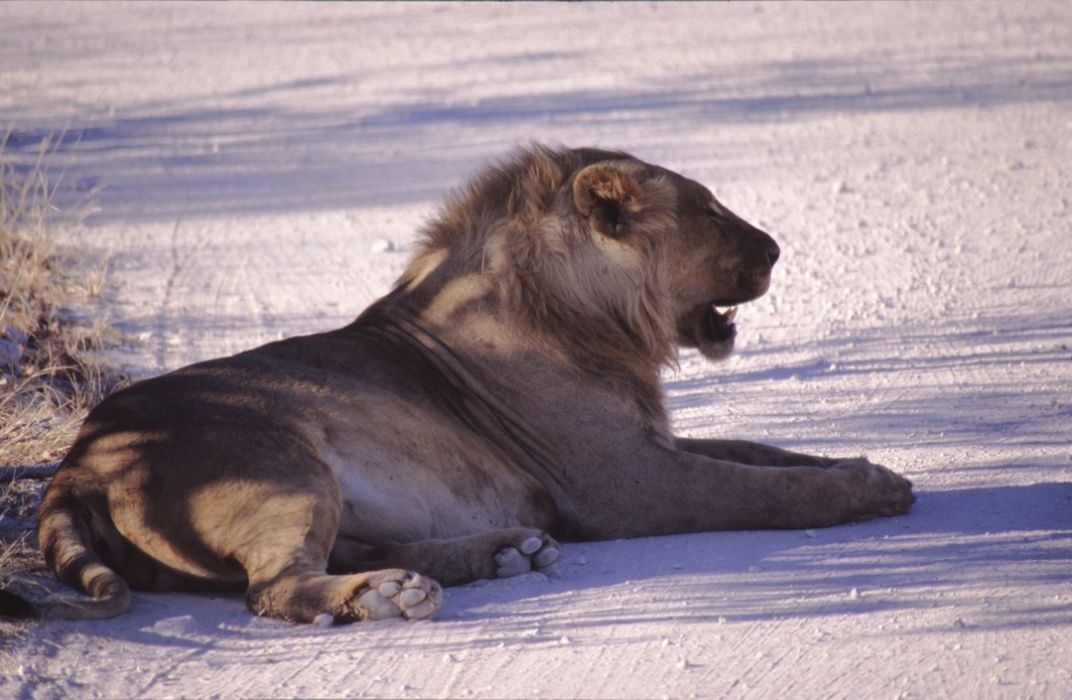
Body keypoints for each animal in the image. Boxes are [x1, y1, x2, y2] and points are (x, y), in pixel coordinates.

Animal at [33, 143, 913, 621]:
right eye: (709, 209)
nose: (776, 249)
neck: (598, 318)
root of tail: (79, 460)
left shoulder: (648, 443)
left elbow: (766, 453)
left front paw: (873, 467)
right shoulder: (622, 484)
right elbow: (757, 489)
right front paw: (870, 490)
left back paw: (504, 552)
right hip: (281, 462)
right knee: (275, 588)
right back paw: (392, 596)